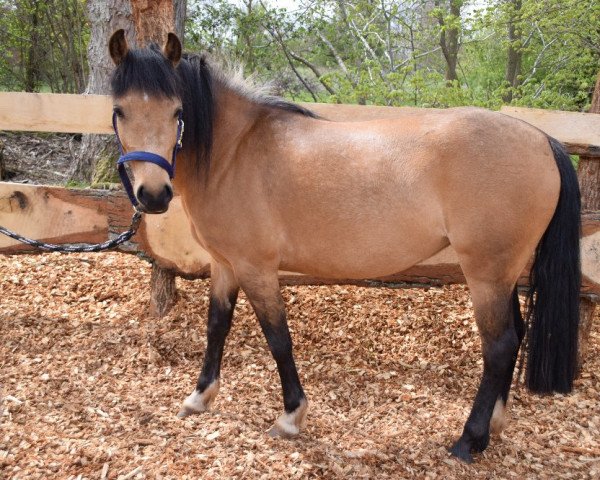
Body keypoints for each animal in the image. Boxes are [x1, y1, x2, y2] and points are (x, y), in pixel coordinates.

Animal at [108, 29, 580, 462]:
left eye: (177, 111)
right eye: (119, 111)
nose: (153, 195)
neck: (233, 151)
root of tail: (543, 140)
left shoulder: (256, 267)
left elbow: (278, 338)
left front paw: (290, 417)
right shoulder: (225, 264)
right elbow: (217, 326)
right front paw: (200, 397)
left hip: (486, 273)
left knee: (498, 346)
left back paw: (469, 440)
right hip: (504, 273)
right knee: (514, 335)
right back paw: (494, 426)